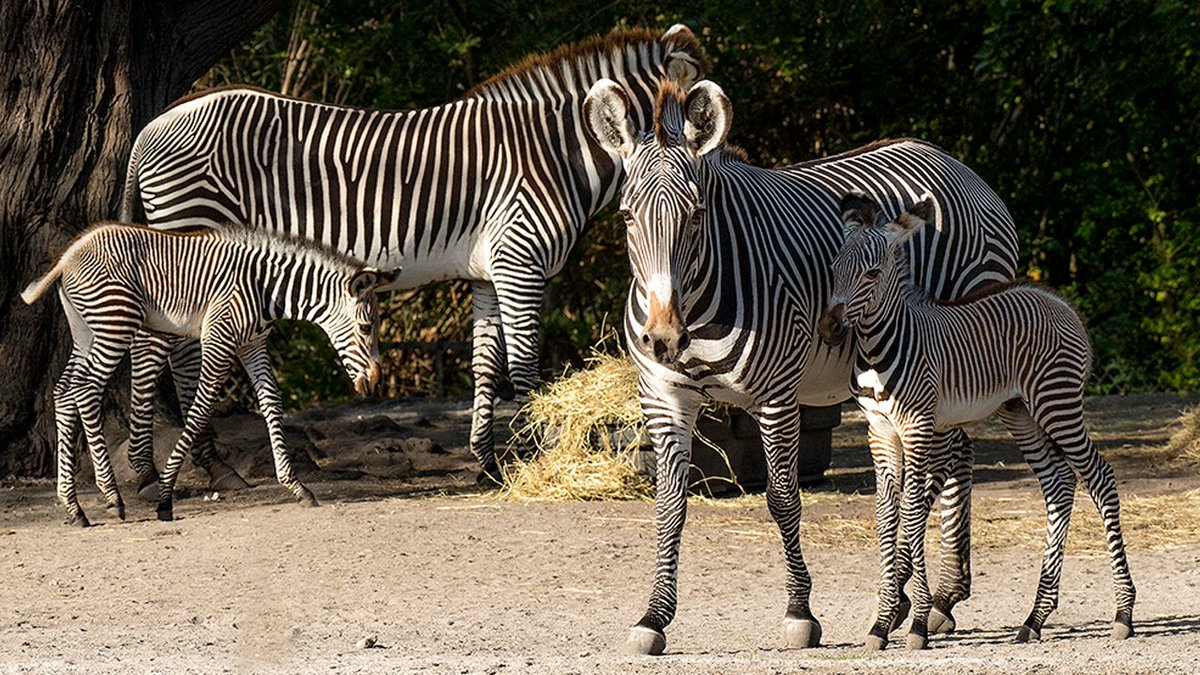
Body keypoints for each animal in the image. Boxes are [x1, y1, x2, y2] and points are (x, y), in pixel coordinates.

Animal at [21, 223, 394, 525]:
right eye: (366, 327)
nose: (376, 381)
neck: (266, 288)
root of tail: (67, 257)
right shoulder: (218, 338)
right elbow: (200, 410)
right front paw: (165, 497)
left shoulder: (252, 345)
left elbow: (272, 403)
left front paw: (297, 486)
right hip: (115, 324)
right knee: (85, 391)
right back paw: (111, 497)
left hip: (86, 332)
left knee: (64, 392)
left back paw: (74, 507)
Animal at [119, 26, 708, 485]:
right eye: (701, 124)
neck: (558, 155)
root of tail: (150, 126)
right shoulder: (520, 258)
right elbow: (524, 364)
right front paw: (538, 455)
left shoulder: (489, 271)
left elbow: (484, 363)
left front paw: (486, 462)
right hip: (192, 232)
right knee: (169, 350)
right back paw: (198, 468)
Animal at [582, 77, 1020, 655]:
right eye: (627, 218)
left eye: (696, 216)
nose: (663, 338)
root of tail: (956, 164)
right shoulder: (662, 397)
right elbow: (670, 505)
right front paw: (653, 617)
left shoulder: (776, 396)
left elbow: (782, 498)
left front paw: (799, 613)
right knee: (957, 456)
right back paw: (931, 598)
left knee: (948, 462)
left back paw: (934, 599)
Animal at [819, 194, 1135, 648]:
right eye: (833, 268)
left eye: (872, 273)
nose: (829, 328)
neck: (877, 352)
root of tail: (1059, 303)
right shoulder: (879, 431)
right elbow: (886, 516)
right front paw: (881, 623)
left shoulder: (917, 425)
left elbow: (912, 512)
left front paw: (917, 623)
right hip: (1019, 411)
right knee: (1059, 485)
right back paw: (1035, 618)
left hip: (1057, 403)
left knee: (1100, 477)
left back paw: (1124, 613)